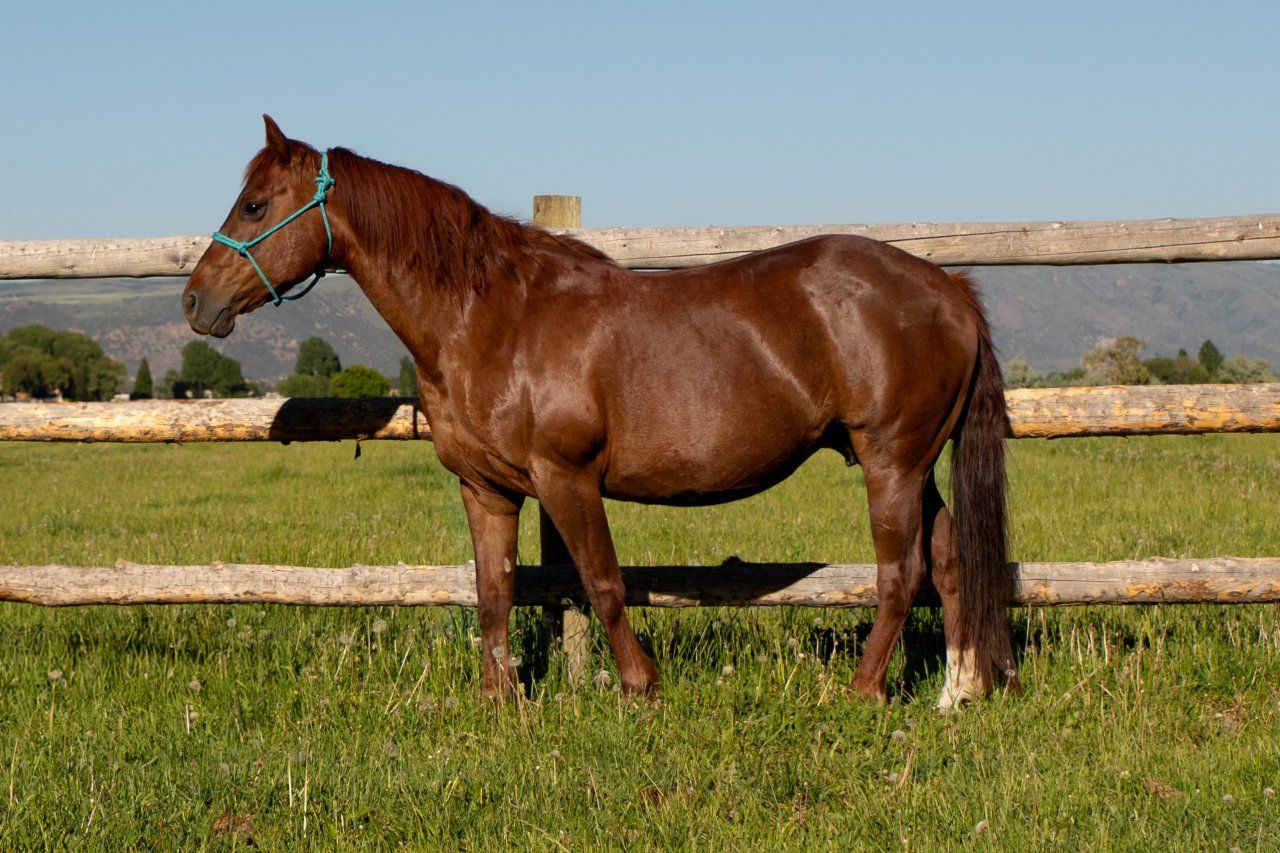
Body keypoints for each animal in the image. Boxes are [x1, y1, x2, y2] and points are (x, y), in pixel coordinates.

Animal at [183, 116, 1016, 708]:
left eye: (255, 203)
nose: (196, 302)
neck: (490, 314)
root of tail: (947, 286)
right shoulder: (487, 488)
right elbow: (494, 591)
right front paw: (500, 702)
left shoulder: (567, 477)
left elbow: (603, 580)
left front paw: (640, 688)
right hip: (913, 464)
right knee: (948, 561)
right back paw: (956, 692)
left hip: (891, 462)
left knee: (901, 571)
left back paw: (865, 691)